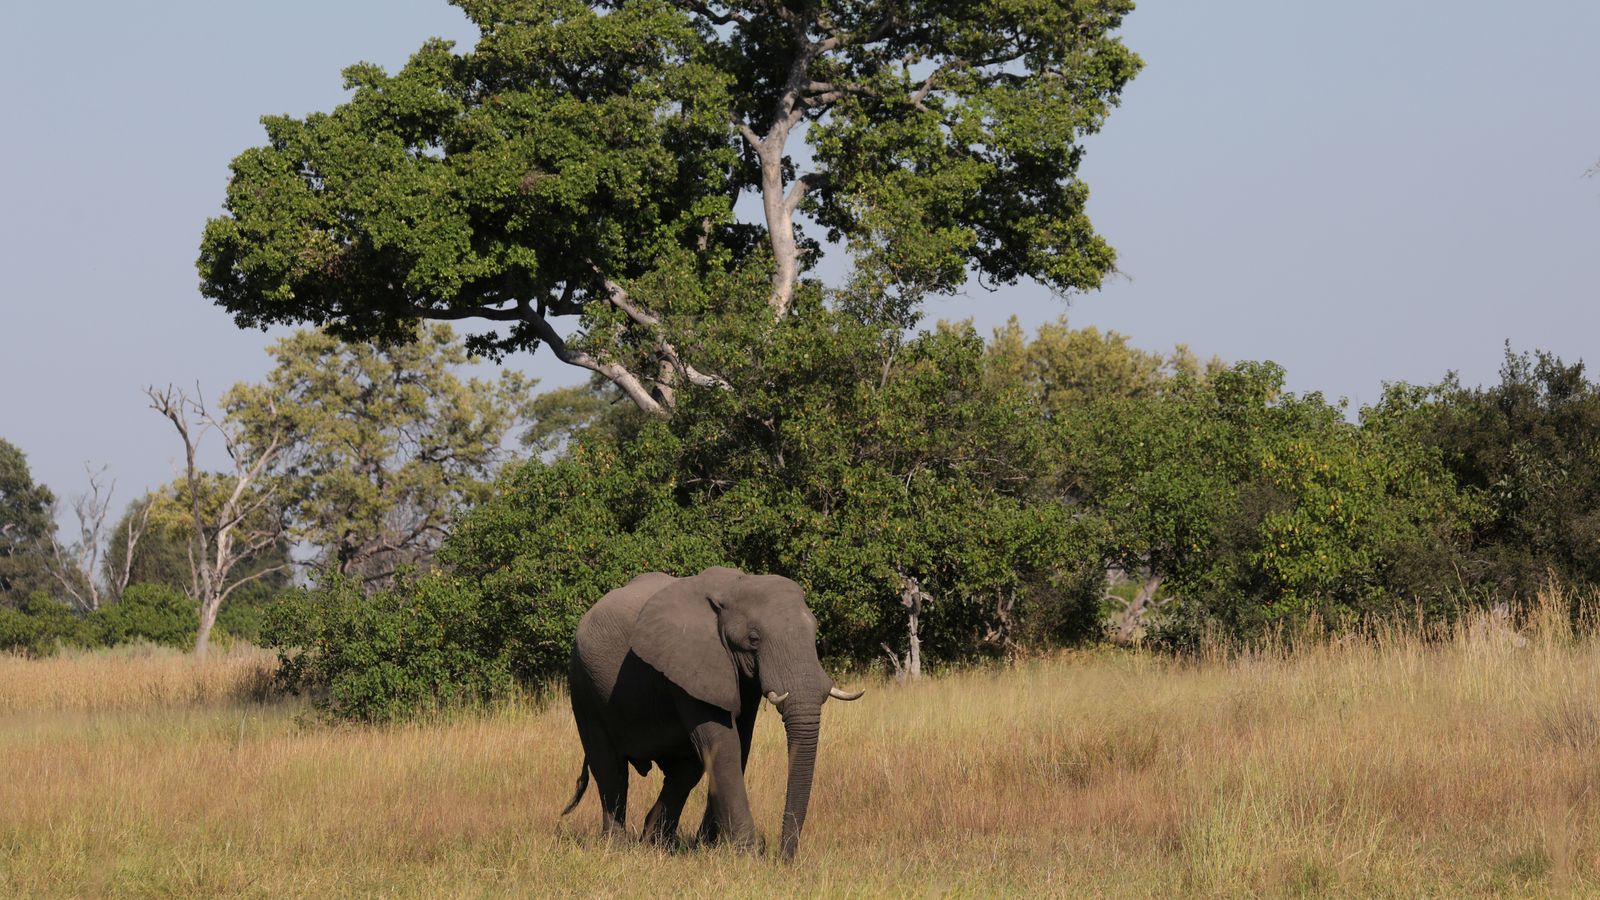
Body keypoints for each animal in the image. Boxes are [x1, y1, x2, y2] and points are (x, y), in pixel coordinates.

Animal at [563, 563, 864, 858]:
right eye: (753, 638)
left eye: (814, 632)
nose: (783, 858)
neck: (734, 586)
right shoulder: (690, 661)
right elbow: (724, 744)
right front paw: (746, 856)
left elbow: (739, 744)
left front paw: (712, 848)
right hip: (583, 685)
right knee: (610, 768)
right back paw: (616, 848)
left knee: (685, 771)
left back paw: (656, 844)